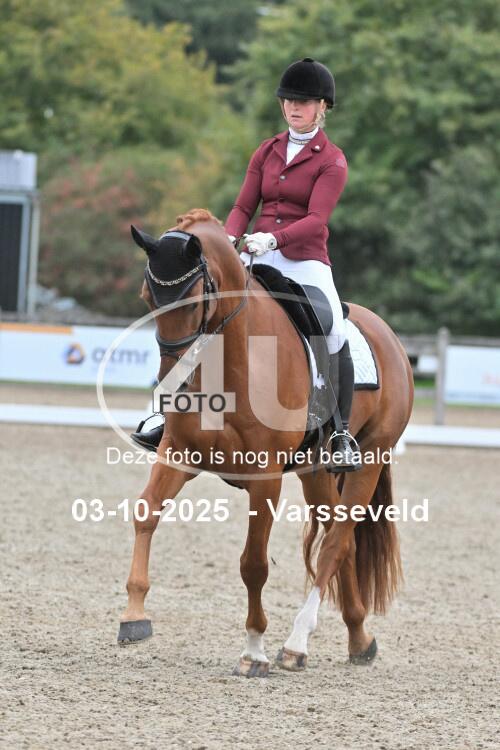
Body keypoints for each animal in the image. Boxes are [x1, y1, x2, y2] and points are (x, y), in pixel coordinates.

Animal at [118, 208, 414, 677]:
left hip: (370, 457)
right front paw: (134, 616)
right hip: (316, 472)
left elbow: (253, 564)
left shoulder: (266, 478)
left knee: (335, 543)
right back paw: (358, 638)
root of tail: (389, 337)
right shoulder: (178, 454)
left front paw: (253, 650)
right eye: (148, 297)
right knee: (342, 541)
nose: (170, 383)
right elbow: (146, 514)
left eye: (193, 299)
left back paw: (296, 644)